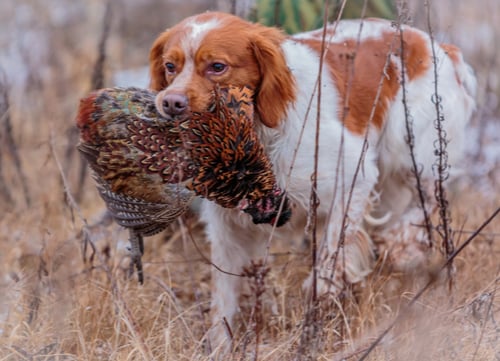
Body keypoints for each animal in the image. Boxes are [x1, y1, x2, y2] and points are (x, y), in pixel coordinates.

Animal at [148, 11, 476, 348]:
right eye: (170, 66)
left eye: (217, 66)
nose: (170, 103)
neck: (258, 131)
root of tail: (437, 46)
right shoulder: (227, 226)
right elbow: (223, 300)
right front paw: (220, 347)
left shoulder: (355, 174)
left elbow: (333, 250)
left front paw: (321, 293)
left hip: (410, 150)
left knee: (429, 197)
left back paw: (400, 244)